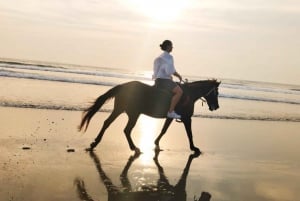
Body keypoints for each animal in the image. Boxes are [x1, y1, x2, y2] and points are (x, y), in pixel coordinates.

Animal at [78, 79, 220, 153]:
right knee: (126, 129)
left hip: (120, 110)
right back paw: (134, 148)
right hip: (133, 114)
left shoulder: (170, 117)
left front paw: (156, 143)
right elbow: (189, 134)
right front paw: (194, 148)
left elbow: (164, 130)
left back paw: (95, 143)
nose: (216, 107)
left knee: (108, 123)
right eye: (216, 93)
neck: (189, 94)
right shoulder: (186, 118)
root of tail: (123, 86)